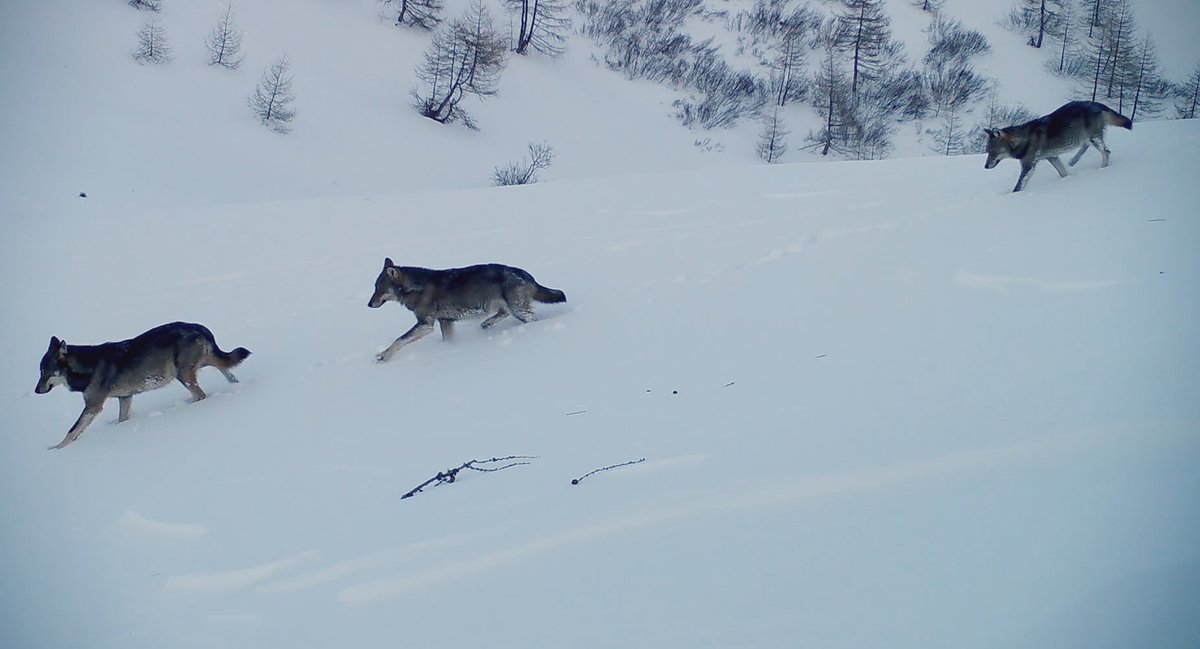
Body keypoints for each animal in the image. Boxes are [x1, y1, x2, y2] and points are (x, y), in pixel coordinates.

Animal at [36, 321, 249, 448]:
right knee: (227, 371)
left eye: (46, 372)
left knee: (201, 394)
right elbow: (122, 420)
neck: (88, 367)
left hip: (183, 374)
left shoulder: (93, 406)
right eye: (40, 371)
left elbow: (72, 431)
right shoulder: (125, 397)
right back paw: (235, 386)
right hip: (204, 363)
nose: (36, 391)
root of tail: (200, 327)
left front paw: (56, 449)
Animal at [364, 256, 566, 359]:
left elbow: (400, 339)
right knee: (502, 314)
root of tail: (522, 272)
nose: (368, 304)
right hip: (504, 305)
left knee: (529, 319)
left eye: (378, 288)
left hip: (519, 310)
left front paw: (383, 355)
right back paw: (486, 324)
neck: (415, 287)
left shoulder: (425, 325)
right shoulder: (445, 321)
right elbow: (447, 341)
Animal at [979, 100, 1128, 191]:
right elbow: (1063, 173)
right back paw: (1073, 161)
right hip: (1085, 139)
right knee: (1088, 148)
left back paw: (1102, 169)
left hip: (1093, 139)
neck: (1024, 140)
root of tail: (1097, 104)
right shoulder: (1052, 157)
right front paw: (1067, 179)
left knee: (1106, 152)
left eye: (993, 151)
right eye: (987, 151)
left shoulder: (1028, 167)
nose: (985, 167)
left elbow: (1018, 187)